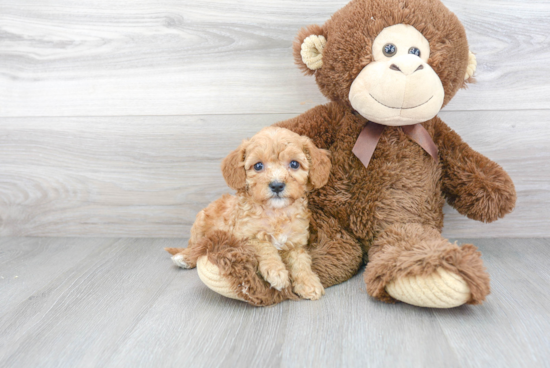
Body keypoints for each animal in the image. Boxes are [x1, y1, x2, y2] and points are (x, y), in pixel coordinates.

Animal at [166, 126, 332, 300]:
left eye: (294, 164)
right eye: (258, 166)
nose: (277, 185)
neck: (275, 213)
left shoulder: (296, 242)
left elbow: (301, 260)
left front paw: (309, 282)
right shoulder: (242, 237)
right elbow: (264, 244)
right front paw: (276, 272)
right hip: (200, 225)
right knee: (197, 246)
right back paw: (184, 257)